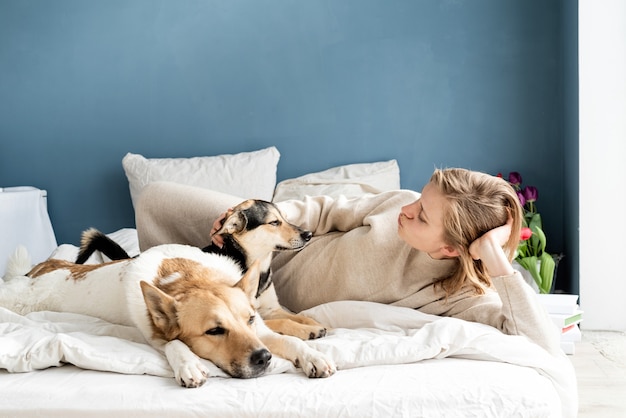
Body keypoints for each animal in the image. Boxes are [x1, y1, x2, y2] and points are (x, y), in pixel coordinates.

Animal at [1, 243, 336, 386]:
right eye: (214, 331)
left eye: (249, 320)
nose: (264, 358)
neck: (187, 278)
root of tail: (43, 268)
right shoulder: (155, 336)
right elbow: (175, 343)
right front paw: (189, 365)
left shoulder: (262, 332)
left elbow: (289, 340)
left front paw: (313, 355)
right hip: (17, 298)